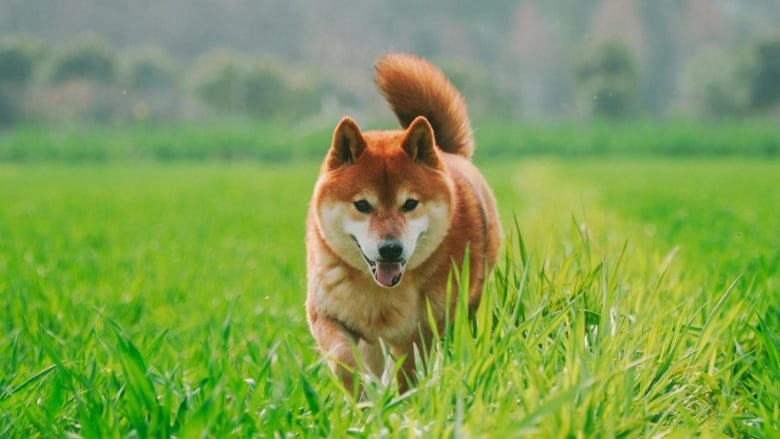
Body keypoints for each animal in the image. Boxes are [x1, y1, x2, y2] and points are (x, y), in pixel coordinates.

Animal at [304, 52, 500, 396]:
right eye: (362, 205)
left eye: (409, 204)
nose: (390, 250)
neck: (382, 294)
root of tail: (448, 153)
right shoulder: (326, 313)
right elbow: (343, 359)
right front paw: (362, 399)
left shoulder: (421, 332)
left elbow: (408, 375)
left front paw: (400, 403)